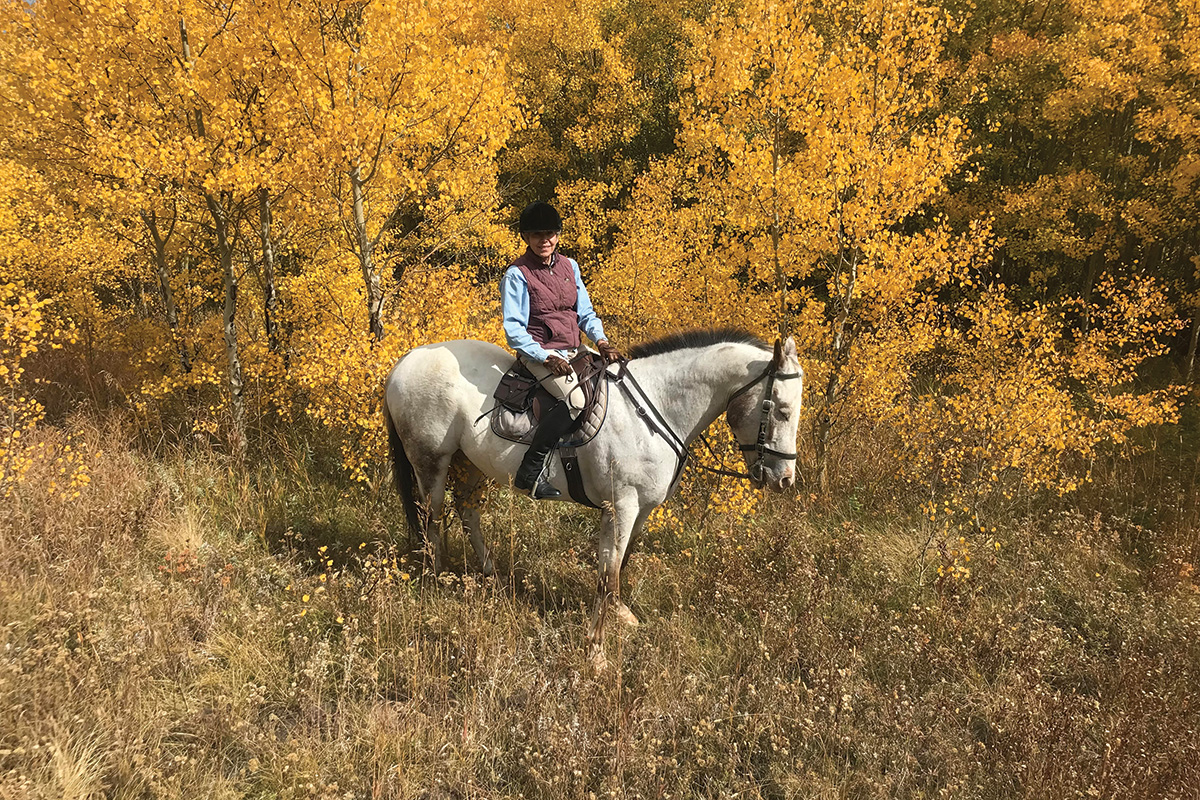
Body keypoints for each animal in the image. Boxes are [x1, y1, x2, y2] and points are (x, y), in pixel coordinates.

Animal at [384, 328, 806, 666]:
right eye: (780, 410)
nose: (784, 479)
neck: (655, 410)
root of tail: (405, 362)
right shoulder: (620, 506)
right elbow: (608, 573)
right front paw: (596, 652)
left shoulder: (641, 509)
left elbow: (620, 565)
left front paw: (623, 617)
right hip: (431, 461)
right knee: (431, 517)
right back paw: (438, 580)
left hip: (468, 462)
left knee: (467, 512)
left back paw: (494, 577)